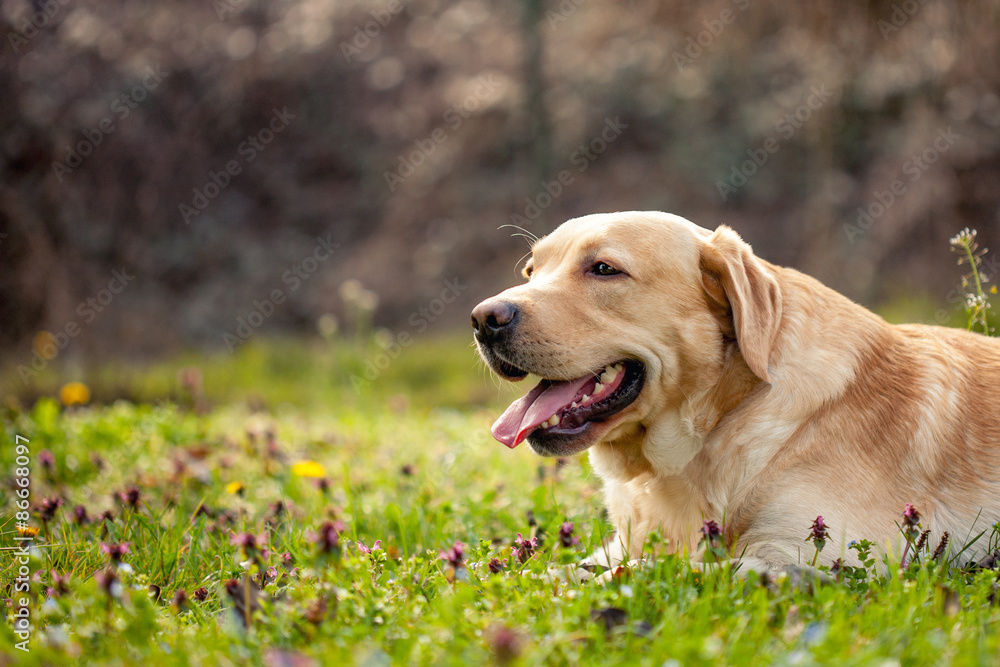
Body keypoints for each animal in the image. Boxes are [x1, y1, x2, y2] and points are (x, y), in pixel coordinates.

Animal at [470, 210, 1000, 576]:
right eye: (531, 272)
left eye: (603, 269)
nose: (483, 319)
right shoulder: (623, 542)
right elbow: (562, 566)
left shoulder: (808, 555)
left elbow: (648, 571)